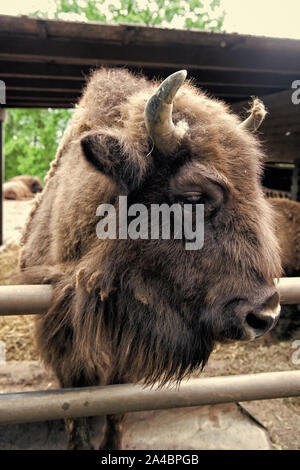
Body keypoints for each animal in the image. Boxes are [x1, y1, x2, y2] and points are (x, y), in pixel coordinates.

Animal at [19, 68, 282, 450]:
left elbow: (117, 411)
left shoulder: (126, 358)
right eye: (193, 197)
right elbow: (76, 415)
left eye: (256, 192)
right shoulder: (67, 353)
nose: (265, 315)